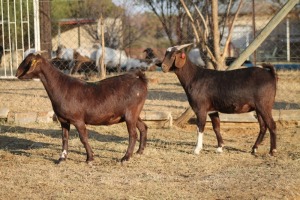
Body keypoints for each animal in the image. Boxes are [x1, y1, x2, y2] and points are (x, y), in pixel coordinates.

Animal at [15, 52, 149, 162]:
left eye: (28, 62)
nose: (16, 74)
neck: (61, 87)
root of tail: (139, 78)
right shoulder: (63, 120)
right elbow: (64, 138)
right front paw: (62, 158)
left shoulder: (78, 119)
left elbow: (83, 138)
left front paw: (90, 158)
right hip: (134, 113)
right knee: (143, 127)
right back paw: (139, 151)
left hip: (131, 112)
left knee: (133, 134)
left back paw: (126, 157)